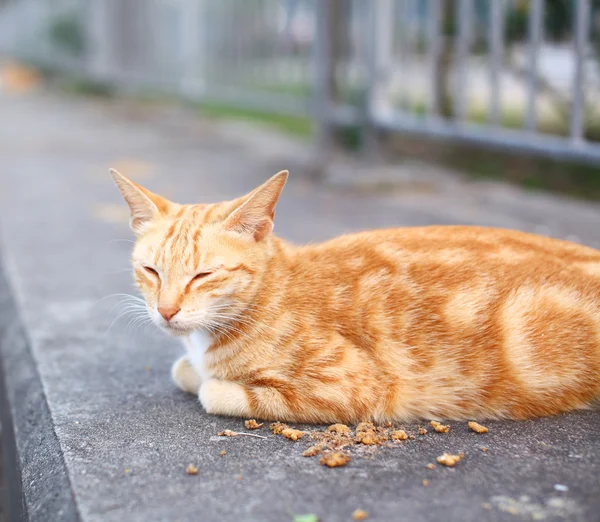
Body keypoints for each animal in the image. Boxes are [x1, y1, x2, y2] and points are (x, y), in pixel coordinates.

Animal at [110, 169, 600, 420]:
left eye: (203, 275)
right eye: (150, 270)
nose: (166, 311)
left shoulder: (354, 387)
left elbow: (213, 389)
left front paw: (210, 380)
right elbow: (184, 369)